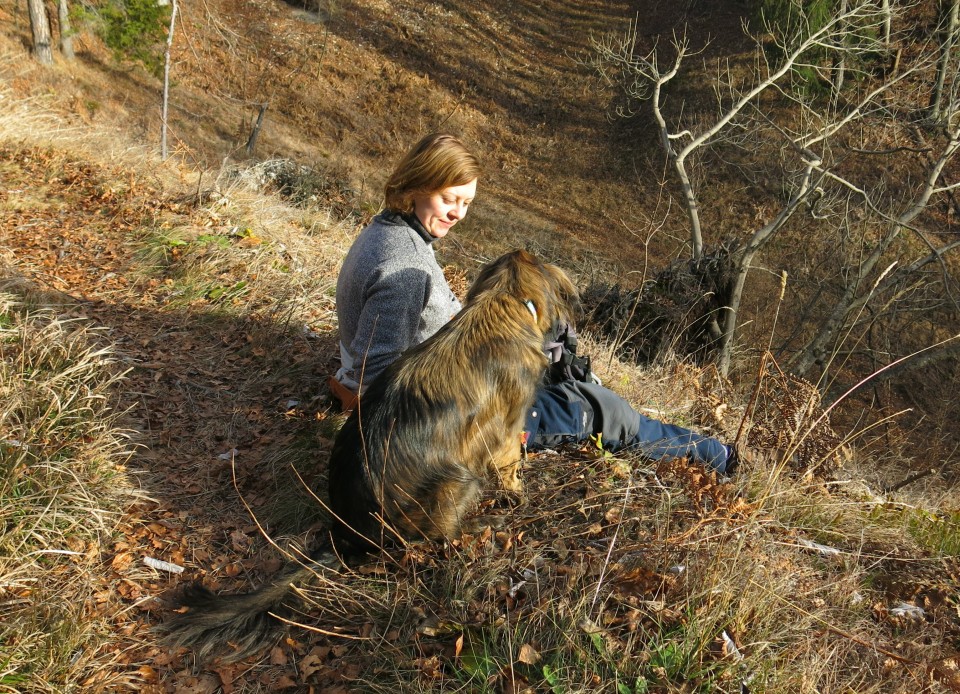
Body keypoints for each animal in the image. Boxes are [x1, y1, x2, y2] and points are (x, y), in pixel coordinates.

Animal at [163, 250, 576, 664]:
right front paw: (517, 494)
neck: (504, 302)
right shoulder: (507, 428)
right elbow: (510, 463)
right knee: (436, 538)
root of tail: (347, 532)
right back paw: (479, 525)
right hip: (457, 480)